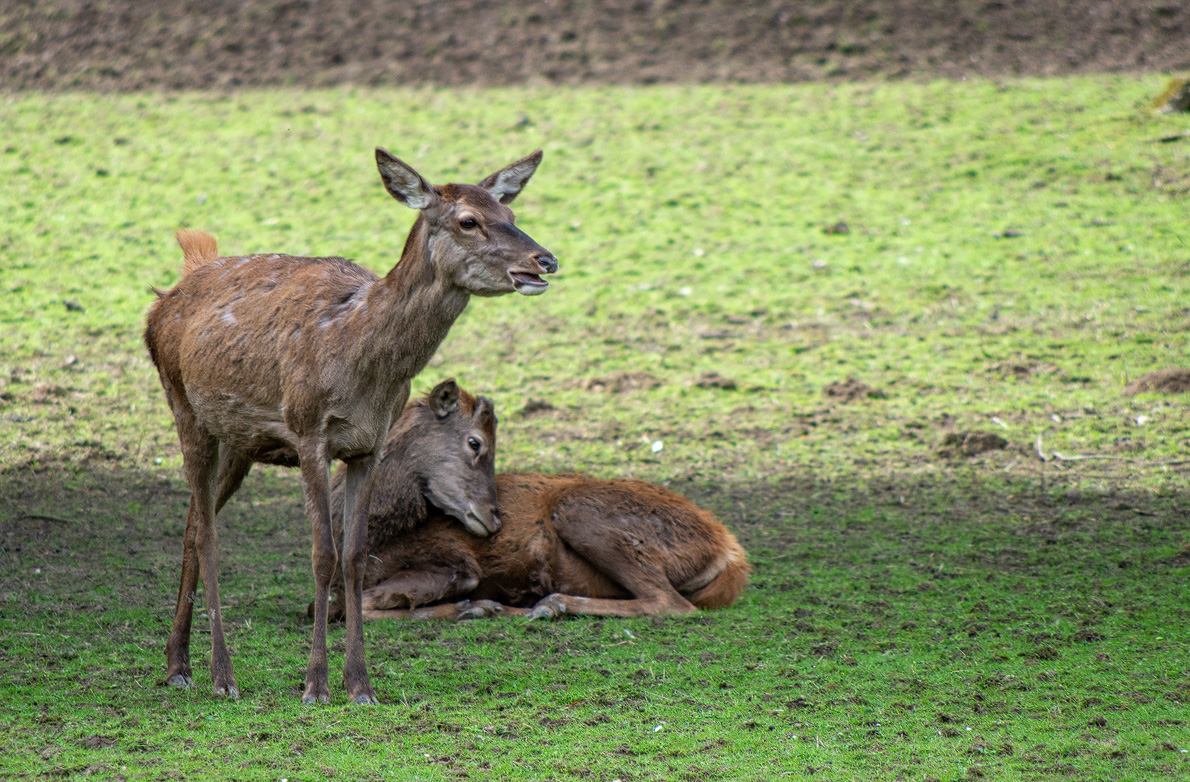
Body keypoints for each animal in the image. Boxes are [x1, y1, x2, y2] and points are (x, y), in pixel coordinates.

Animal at [142, 149, 556, 704]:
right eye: (469, 220)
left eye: (511, 213)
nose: (545, 261)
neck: (362, 364)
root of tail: (169, 292)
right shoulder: (308, 432)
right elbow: (323, 555)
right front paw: (315, 685)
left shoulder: (368, 446)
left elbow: (356, 556)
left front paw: (360, 684)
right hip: (183, 406)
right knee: (206, 534)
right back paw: (221, 675)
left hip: (239, 441)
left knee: (191, 524)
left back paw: (177, 664)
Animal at [326, 378, 747, 623]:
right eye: (475, 442)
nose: (494, 518)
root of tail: (730, 553)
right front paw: (477, 607)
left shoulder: (454, 561)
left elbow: (358, 606)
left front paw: (473, 607)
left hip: (580, 511)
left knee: (670, 602)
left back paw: (551, 604)